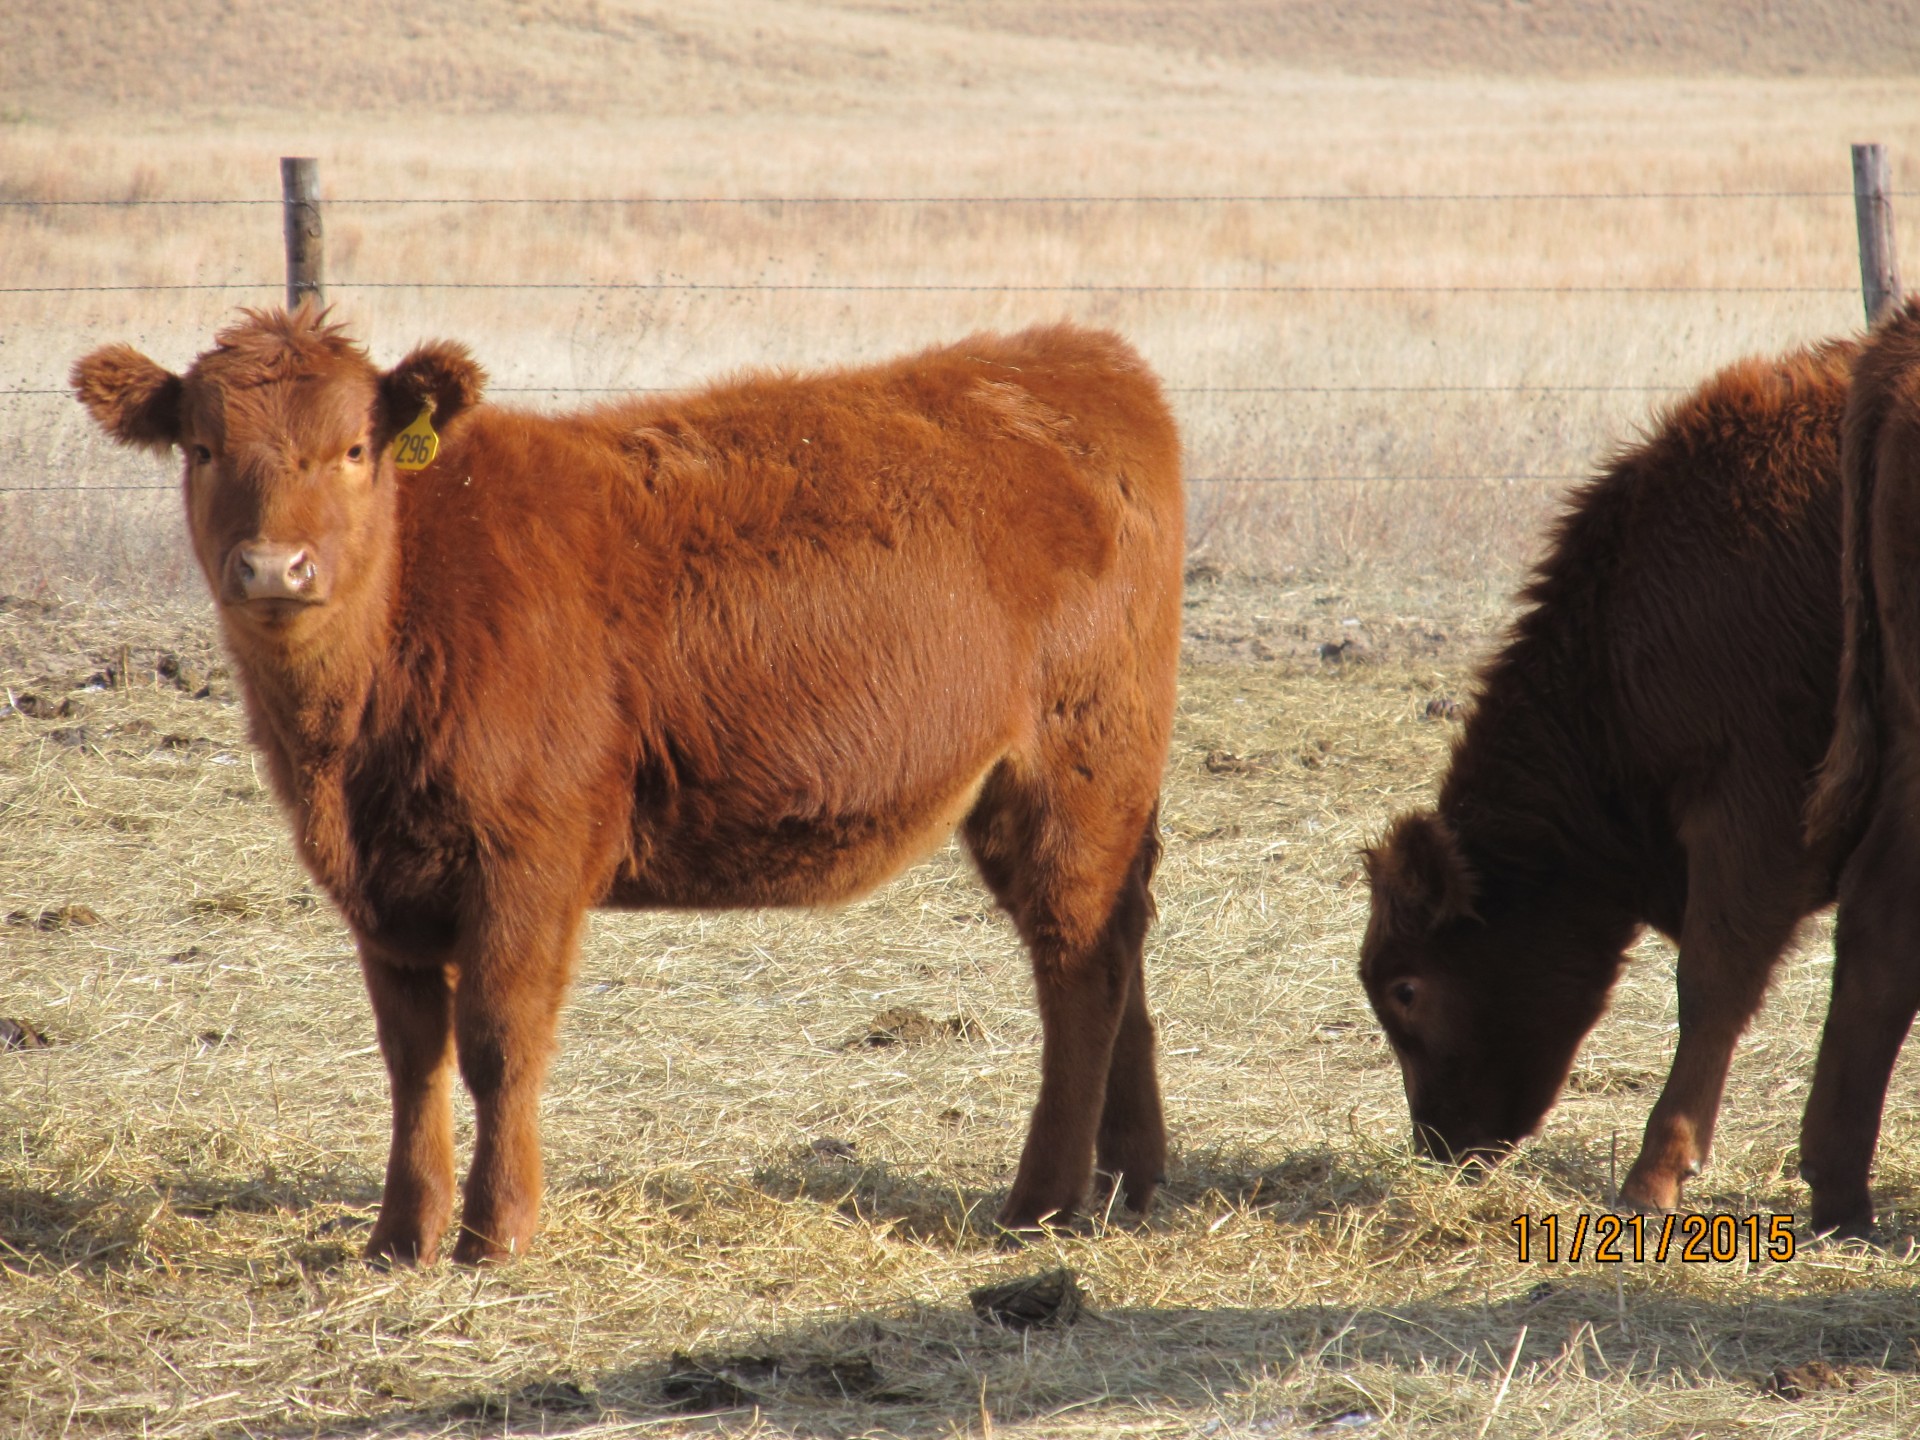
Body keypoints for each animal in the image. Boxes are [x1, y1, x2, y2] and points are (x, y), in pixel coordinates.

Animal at [71, 311, 1182, 1267]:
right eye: (201, 449)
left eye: (353, 449)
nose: (273, 568)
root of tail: (1077, 355)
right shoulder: (380, 889)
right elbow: (413, 1057)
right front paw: (400, 1237)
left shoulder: (530, 854)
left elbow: (499, 1042)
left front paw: (496, 1233)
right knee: (1120, 943)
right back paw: (1130, 1175)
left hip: (1075, 776)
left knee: (1078, 963)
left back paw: (1042, 1201)